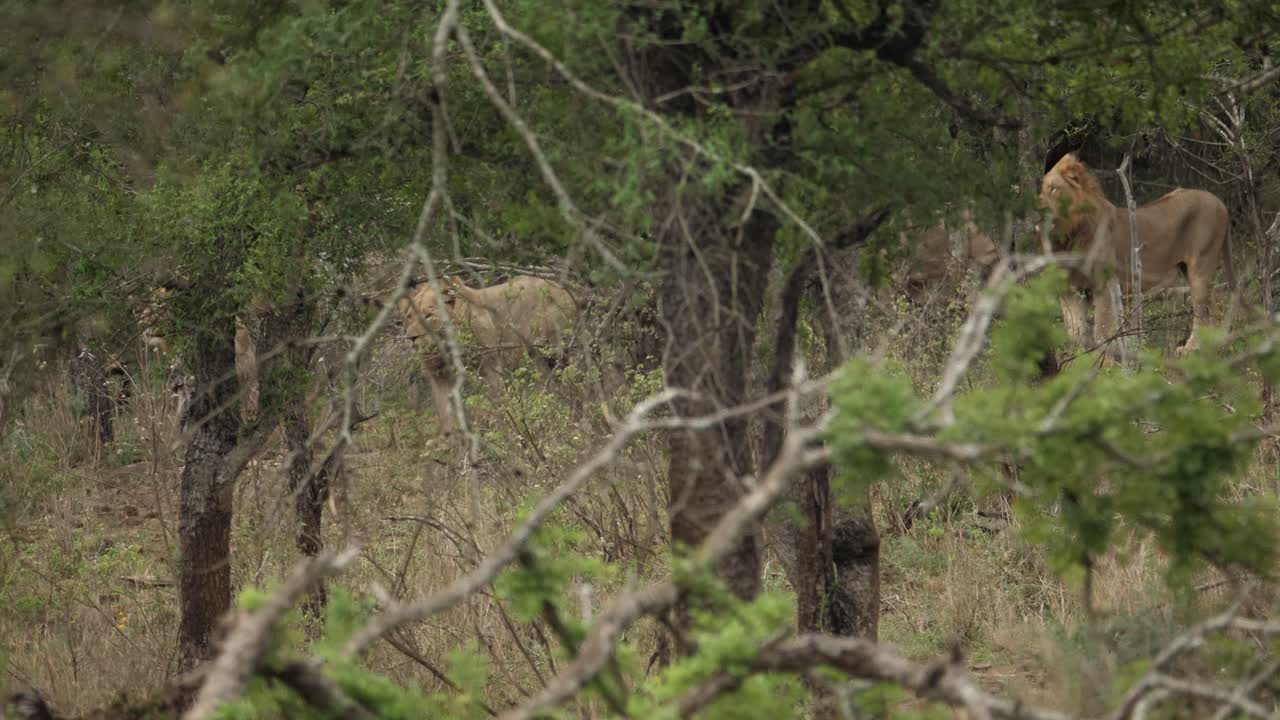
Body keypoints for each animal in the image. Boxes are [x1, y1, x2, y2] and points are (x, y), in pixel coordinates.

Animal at [397, 274, 579, 433]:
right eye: (409, 317)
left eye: (428, 315)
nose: (411, 338)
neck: (443, 348)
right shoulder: (439, 378)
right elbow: (445, 415)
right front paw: (450, 443)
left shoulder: (489, 368)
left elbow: (496, 405)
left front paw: (502, 431)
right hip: (540, 359)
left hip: (558, 351)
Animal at [1040, 153, 1234, 355]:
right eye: (1041, 190)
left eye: (1053, 188)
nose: (1038, 210)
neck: (1070, 234)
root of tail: (1220, 202)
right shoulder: (1070, 289)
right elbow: (1076, 333)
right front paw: (1078, 359)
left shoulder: (1105, 283)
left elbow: (1101, 329)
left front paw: (1106, 360)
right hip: (1189, 270)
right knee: (1213, 311)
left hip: (1201, 266)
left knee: (1202, 312)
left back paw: (1191, 349)